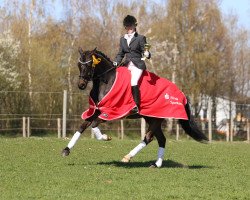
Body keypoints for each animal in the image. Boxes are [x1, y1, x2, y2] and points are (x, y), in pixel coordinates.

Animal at [61, 48, 208, 167]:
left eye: (89, 64)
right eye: (79, 64)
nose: (81, 85)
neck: (106, 81)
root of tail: (181, 93)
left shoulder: (110, 113)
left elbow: (94, 125)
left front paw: (105, 137)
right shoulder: (95, 111)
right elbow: (82, 126)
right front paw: (66, 150)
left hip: (156, 119)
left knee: (148, 138)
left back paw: (128, 157)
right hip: (151, 117)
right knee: (161, 139)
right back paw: (156, 164)